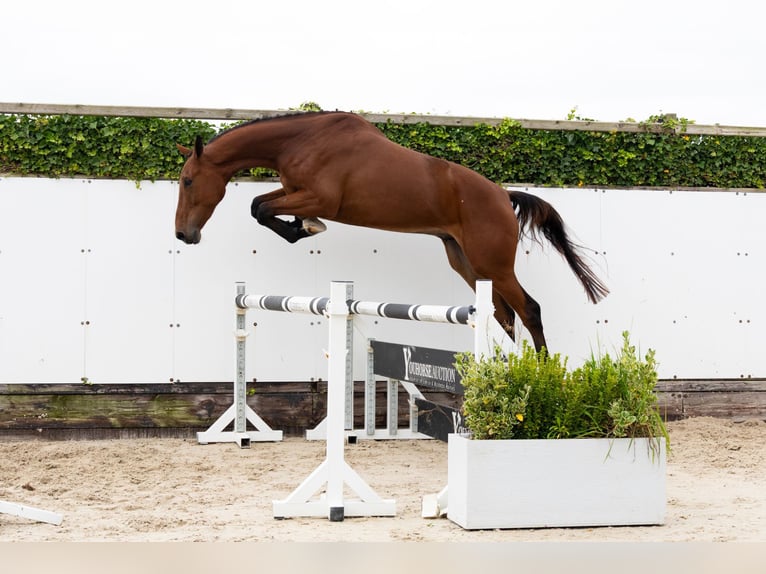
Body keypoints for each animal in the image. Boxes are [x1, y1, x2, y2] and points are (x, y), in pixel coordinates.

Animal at [175, 111, 608, 351]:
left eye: (188, 181)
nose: (183, 235)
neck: (302, 139)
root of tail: (503, 195)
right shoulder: (295, 192)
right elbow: (259, 204)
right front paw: (302, 227)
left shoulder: (319, 198)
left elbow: (261, 208)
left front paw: (306, 229)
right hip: (467, 263)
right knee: (502, 316)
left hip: (494, 265)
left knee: (529, 310)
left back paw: (542, 373)